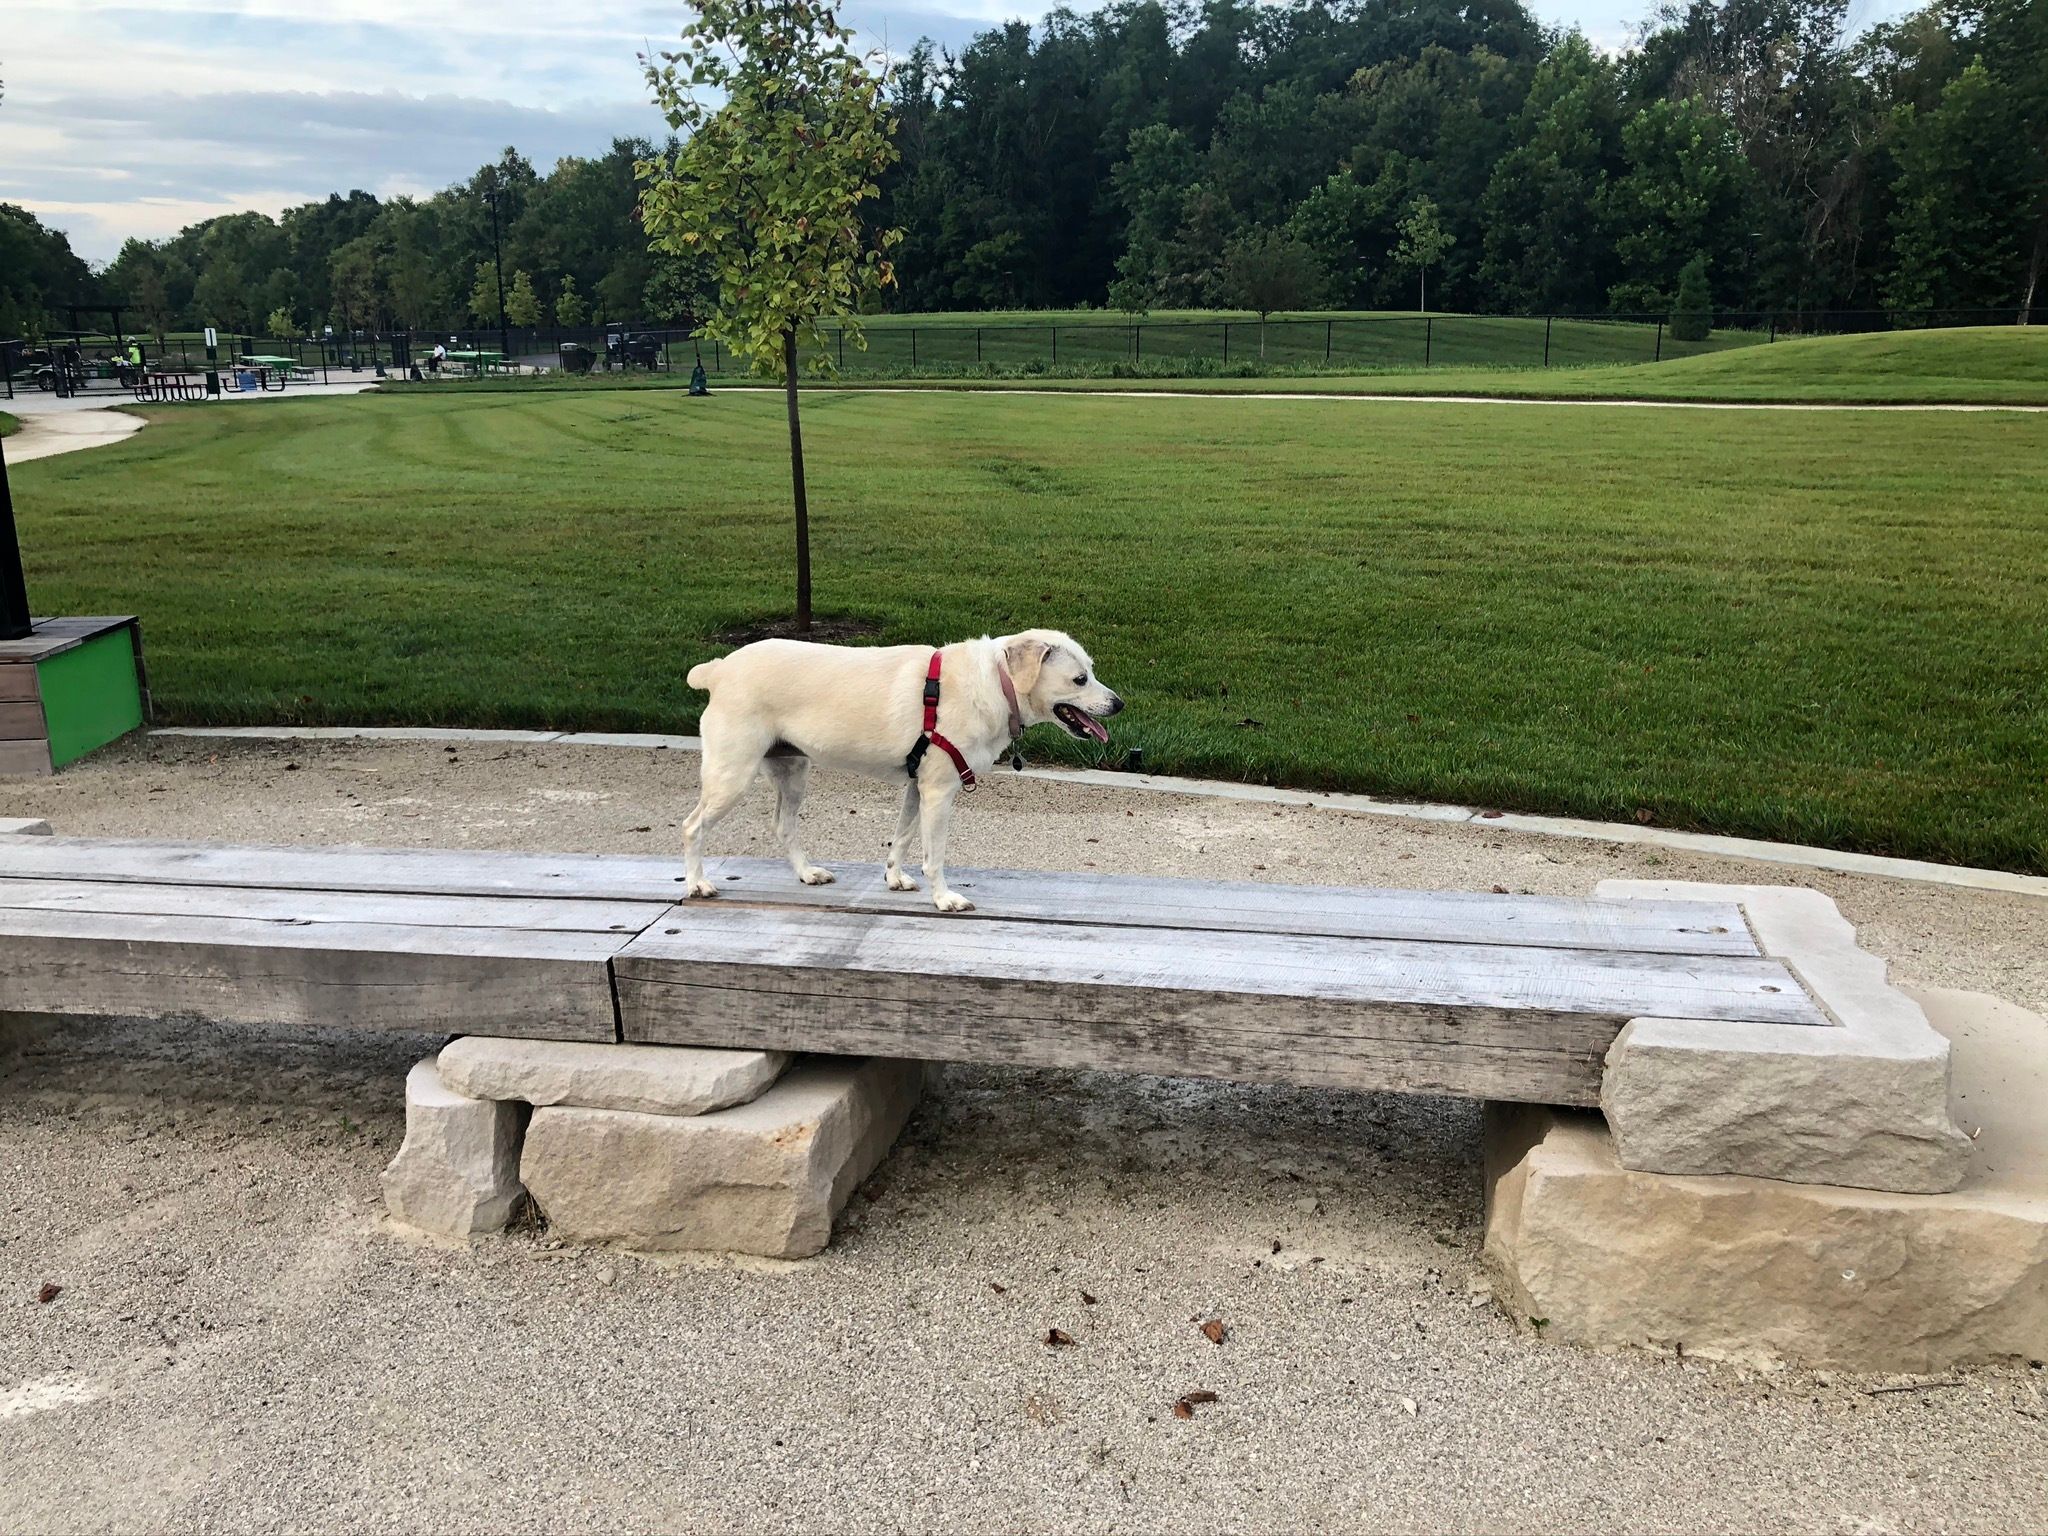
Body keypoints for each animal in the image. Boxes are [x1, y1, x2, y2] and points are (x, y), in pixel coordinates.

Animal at [679, 626, 1122, 913]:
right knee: (692, 826)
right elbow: (934, 855)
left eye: (1091, 671)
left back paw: (806, 873)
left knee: (784, 825)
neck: (996, 684)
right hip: (733, 774)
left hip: (793, 771)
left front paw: (894, 878)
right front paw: (943, 898)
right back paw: (697, 883)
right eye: (1080, 679)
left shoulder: (917, 786)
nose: (1120, 704)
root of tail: (719, 669)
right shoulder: (940, 791)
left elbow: (903, 837)